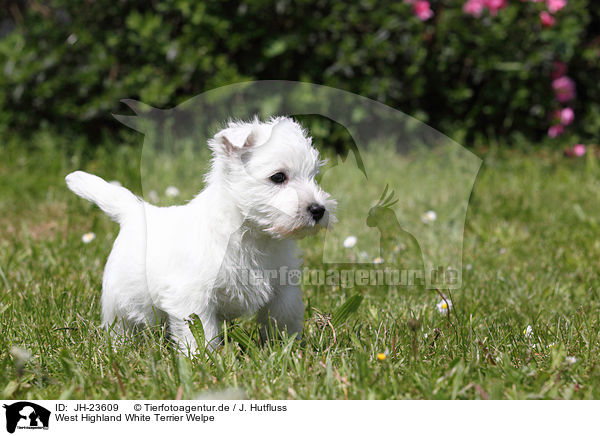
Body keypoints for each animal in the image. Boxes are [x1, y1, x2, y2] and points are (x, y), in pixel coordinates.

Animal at [68, 117, 338, 352]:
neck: (251, 234)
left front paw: (287, 348)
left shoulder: (283, 289)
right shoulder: (193, 299)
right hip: (118, 300)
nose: (318, 210)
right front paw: (204, 362)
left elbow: (284, 317)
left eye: (313, 176)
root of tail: (135, 211)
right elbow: (203, 334)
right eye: (278, 177)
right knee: (120, 326)